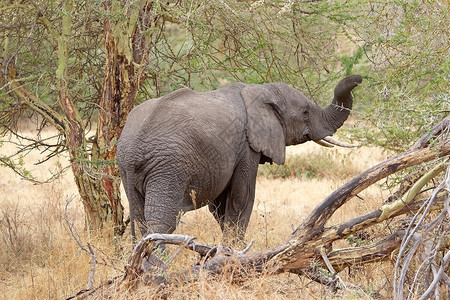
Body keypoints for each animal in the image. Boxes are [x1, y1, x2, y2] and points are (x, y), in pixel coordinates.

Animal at [116, 74, 362, 243]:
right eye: (305, 113)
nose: (359, 78)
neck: (262, 90)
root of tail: (134, 146)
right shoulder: (246, 146)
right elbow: (242, 198)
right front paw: (234, 252)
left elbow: (220, 206)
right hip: (169, 167)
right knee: (161, 221)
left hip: (127, 169)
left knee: (139, 218)